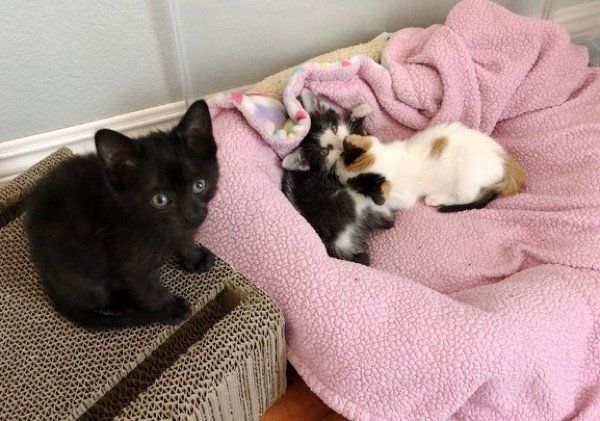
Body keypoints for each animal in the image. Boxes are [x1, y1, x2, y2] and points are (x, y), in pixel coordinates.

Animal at [25, 99, 219, 329]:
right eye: (160, 200)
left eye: (199, 185)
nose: (193, 215)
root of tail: (47, 279)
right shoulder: (128, 261)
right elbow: (148, 289)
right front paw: (169, 308)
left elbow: (184, 239)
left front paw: (194, 258)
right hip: (84, 270)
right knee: (104, 297)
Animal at [337, 122, 525, 212]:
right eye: (341, 157)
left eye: (355, 185)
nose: (339, 178)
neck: (390, 158)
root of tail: (506, 160)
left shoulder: (405, 197)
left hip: (467, 178)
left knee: (467, 196)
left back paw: (437, 198)